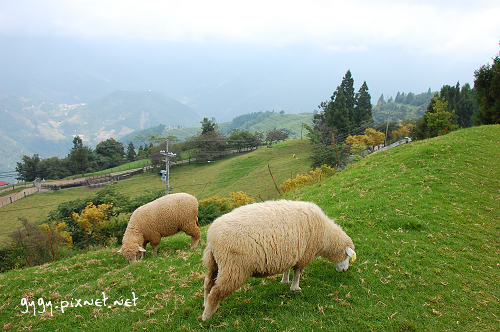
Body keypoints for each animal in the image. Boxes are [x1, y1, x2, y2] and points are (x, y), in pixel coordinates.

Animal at [201, 198, 358, 320]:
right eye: (347, 256)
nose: (344, 271)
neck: (325, 235)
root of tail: (211, 237)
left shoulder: (290, 253)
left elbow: (288, 269)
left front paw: (285, 280)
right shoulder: (304, 255)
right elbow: (298, 273)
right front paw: (295, 288)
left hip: (214, 263)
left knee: (208, 283)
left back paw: (205, 304)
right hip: (234, 269)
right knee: (216, 292)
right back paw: (206, 316)